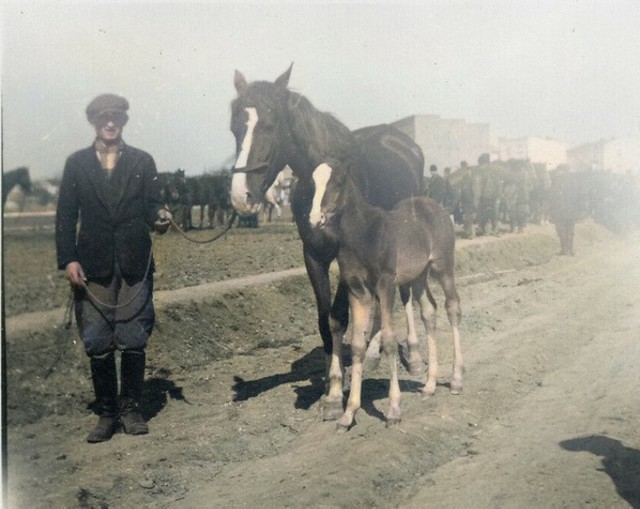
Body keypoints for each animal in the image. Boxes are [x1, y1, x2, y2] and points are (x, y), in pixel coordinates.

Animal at [230, 64, 424, 416]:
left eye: (270, 125)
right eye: (234, 127)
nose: (242, 197)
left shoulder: (349, 254)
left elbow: (338, 316)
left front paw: (336, 392)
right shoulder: (313, 255)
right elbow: (324, 320)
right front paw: (330, 383)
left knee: (406, 292)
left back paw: (412, 355)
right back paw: (372, 352)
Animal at [308, 162, 462, 428]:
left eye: (337, 182)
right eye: (312, 183)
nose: (315, 218)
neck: (363, 234)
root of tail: (436, 207)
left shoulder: (386, 283)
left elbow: (389, 340)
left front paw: (393, 409)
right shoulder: (357, 289)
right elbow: (357, 344)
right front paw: (348, 414)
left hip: (443, 267)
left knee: (452, 307)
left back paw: (456, 379)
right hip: (418, 277)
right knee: (429, 311)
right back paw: (430, 385)